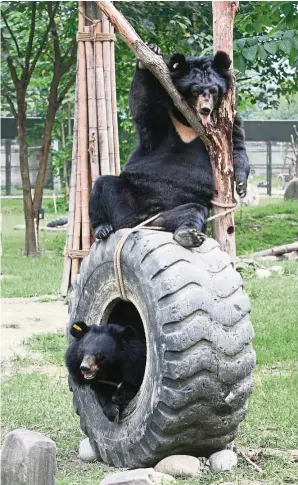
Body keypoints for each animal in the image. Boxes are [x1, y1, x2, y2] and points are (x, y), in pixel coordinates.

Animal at [68, 229, 255, 466]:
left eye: (100, 356)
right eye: (83, 352)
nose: (84, 368)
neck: (114, 367)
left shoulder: (136, 360)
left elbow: (132, 381)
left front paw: (119, 397)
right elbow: (98, 390)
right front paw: (110, 408)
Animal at [89, 45, 249, 248]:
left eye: (214, 91)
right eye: (195, 91)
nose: (205, 109)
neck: (189, 121)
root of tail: (141, 221)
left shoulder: (229, 123)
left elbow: (236, 148)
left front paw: (241, 186)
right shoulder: (162, 117)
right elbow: (142, 108)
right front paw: (150, 53)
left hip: (176, 210)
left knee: (193, 211)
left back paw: (188, 235)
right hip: (128, 196)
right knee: (102, 185)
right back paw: (103, 228)